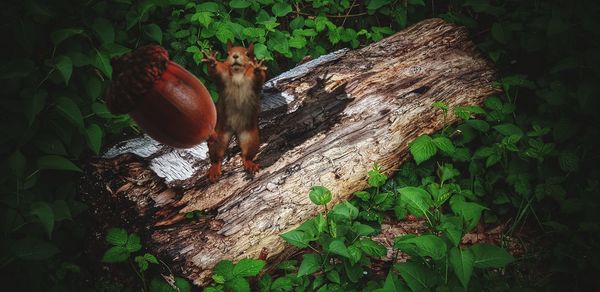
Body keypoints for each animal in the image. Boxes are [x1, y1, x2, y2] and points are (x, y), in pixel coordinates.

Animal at [203, 41, 266, 182]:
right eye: (227, 53)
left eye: (248, 54)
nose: (235, 56)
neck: (238, 74)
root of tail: (235, 130)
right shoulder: (223, 75)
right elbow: (214, 71)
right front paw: (211, 60)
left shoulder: (253, 82)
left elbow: (260, 77)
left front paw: (257, 68)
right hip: (219, 135)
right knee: (216, 155)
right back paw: (214, 169)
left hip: (250, 137)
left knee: (247, 154)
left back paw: (250, 163)